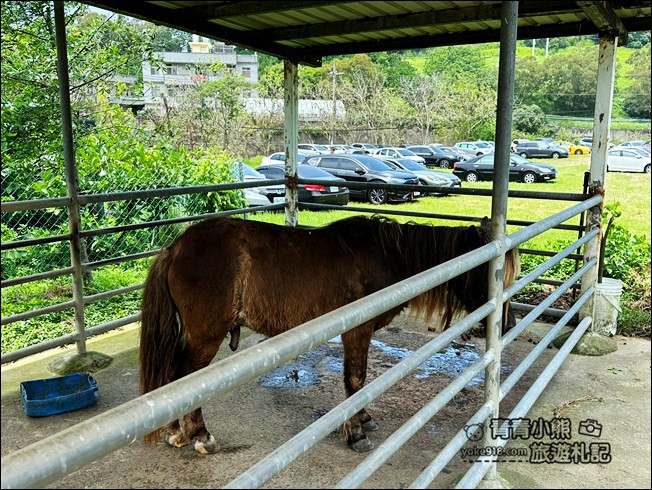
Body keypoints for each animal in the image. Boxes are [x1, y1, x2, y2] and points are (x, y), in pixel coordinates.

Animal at [139, 215, 520, 454]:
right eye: (491, 273)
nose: (509, 323)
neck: (386, 257)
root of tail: (176, 247)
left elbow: (360, 382)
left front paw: (363, 419)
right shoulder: (357, 331)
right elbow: (355, 378)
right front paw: (355, 433)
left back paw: (176, 432)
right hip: (205, 335)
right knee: (185, 380)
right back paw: (199, 435)